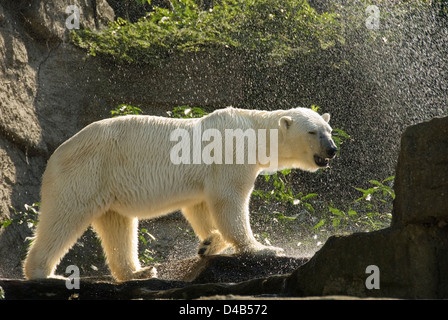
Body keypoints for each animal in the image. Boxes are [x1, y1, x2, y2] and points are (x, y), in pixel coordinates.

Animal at [21, 107, 336, 280]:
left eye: (329, 129)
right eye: (312, 132)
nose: (332, 149)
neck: (255, 131)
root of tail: (56, 155)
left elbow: (200, 207)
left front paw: (208, 243)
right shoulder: (231, 154)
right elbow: (228, 199)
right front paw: (263, 248)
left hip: (107, 184)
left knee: (117, 225)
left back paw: (139, 272)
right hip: (87, 171)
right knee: (63, 217)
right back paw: (45, 274)